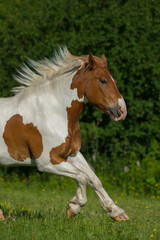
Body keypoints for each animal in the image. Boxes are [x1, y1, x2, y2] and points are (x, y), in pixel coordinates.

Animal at [0, 47, 129, 221]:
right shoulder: (47, 161)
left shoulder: (71, 154)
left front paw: (117, 213)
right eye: (103, 80)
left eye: (113, 80)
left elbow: (94, 179)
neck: (54, 111)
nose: (122, 111)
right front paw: (74, 207)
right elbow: (82, 177)